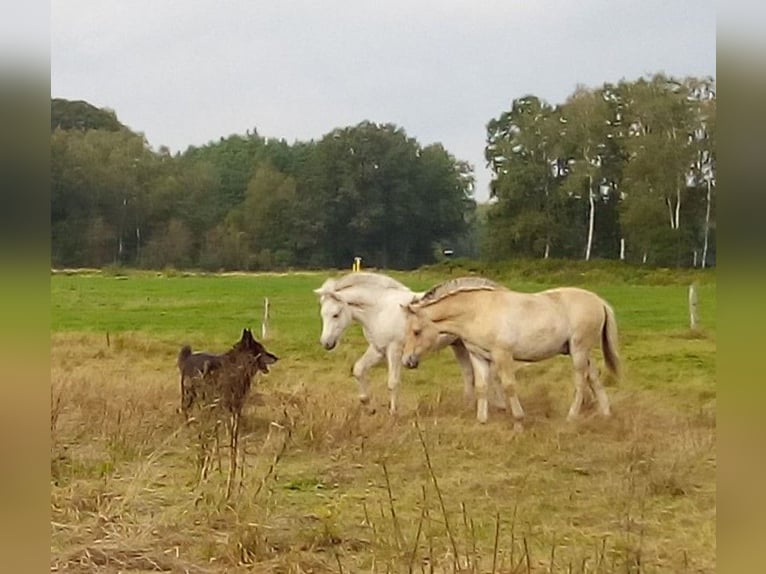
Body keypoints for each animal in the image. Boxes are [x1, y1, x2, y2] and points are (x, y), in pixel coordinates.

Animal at [316, 274, 500, 414]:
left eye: (336, 314)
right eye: (323, 314)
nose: (326, 343)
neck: (379, 310)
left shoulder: (394, 350)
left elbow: (393, 382)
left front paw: (393, 412)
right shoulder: (378, 349)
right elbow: (358, 370)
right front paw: (368, 405)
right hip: (459, 344)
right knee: (469, 373)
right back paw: (468, 406)